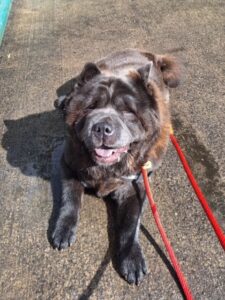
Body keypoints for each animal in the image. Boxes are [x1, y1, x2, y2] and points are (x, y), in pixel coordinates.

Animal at [51, 48, 180, 284]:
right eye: (91, 107)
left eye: (128, 112)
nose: (102, 127)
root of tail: (149, 55)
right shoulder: (69, 163)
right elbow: (70, 200)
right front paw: (63, 230)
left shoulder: (135, 186)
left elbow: (130, 225)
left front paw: (132, 259)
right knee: (72, 92)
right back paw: (62, 101)